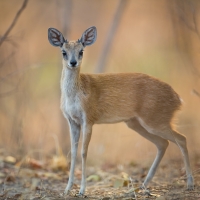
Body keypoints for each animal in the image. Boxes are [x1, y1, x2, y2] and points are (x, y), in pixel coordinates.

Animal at [47, 26, 194, 195]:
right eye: (63, 52)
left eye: (81, 51)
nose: (73, 62)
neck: (75, 94)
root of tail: (178, 99)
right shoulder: (72, 121)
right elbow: (73, 152)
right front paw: (67, 189)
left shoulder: (88, 118)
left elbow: (84, 152)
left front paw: (82, 190)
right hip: (136, 123)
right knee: (163, 143)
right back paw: (144, 184)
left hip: (155, 119)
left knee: (181, 139)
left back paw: (190, 183)